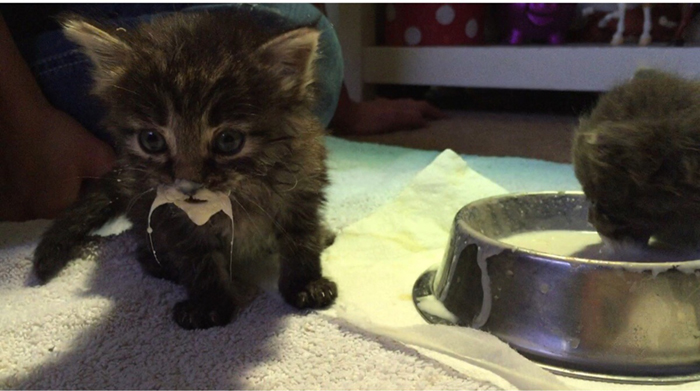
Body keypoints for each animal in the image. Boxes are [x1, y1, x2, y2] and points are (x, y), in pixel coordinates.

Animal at [32, 10, 340, 330]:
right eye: (151, 139)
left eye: (228, 141)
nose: (187, 185)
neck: (239, 194)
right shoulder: (171, 216)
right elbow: (198, 259)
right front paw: (209, 304)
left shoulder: (303, 184)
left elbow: (300, 238)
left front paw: (305, 283)